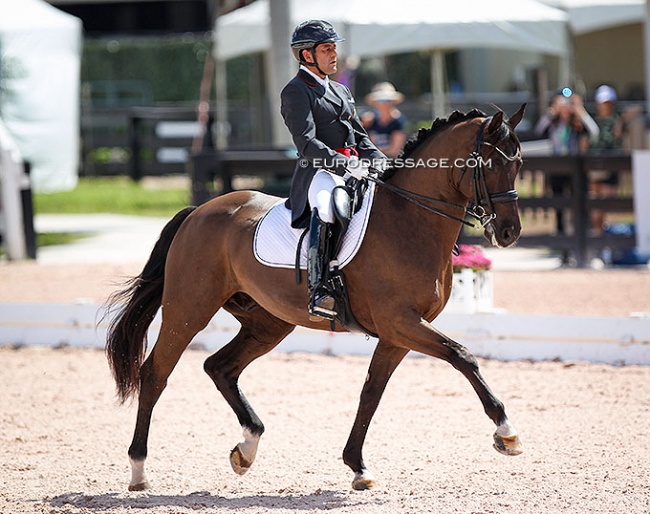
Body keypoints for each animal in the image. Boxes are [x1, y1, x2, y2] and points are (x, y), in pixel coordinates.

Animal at [105, 103, 528, 488]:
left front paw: (357, 466)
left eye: (519, 163)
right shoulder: (401, 322)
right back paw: (139, 470)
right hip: (188, 311)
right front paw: (506, 433)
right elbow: (463, 356)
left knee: (220, 367)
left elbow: (371, 391)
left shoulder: (398, 333)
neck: (409, 221)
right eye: (490, 163)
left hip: (268, 323)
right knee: (155, 373)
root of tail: (198, 212)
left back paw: (246, 448)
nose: (509, 233)